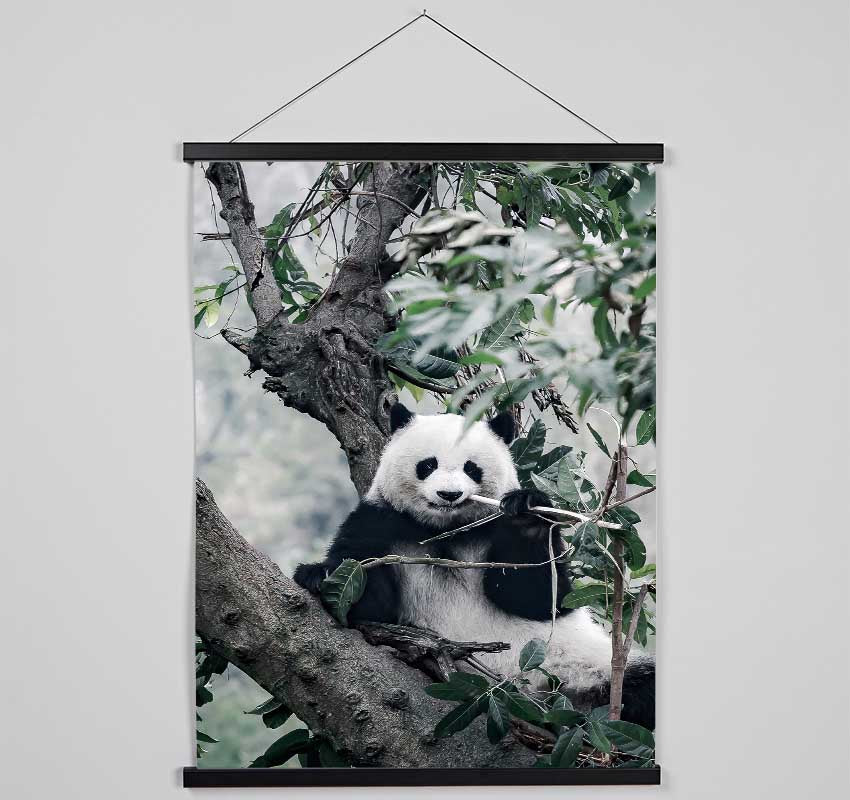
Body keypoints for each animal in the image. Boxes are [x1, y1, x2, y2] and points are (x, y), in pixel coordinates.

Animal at [294, 402, 654, 729]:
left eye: (471, 468)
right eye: (428, 464)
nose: (449, 494)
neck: (444, 530)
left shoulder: (493, 528)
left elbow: (541, 600)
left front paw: (527, 515)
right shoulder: (381, 522)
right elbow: (370, 605)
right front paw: (319, 575)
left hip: (582, 666)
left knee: (641, 685)